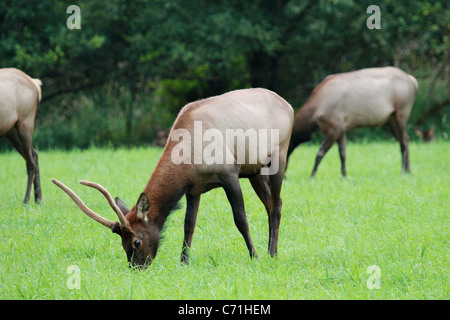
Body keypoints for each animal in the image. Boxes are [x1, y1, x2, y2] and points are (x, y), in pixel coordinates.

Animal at [0, 67, 42, 202]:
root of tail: (35, 83)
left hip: (25, 122)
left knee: (31, 162)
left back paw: (27, 200)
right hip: (10, 130)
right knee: (34, 154)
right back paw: (39, 199)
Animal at [51, 88, 296, 270]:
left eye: (136, 241)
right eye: (122, 243)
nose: (136, 267)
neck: (187, 156)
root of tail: (289, 106)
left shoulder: (229, 174)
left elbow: (240, 219)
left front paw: (254, 256)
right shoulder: (193, 188)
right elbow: (189, 224)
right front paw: (183, 262)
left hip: (278, 158)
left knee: (276, 205)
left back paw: (271, 255)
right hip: (255, 171)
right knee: (272, 204)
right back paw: (272, 250)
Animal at [288, 67, 418, 176]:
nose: (285, 175)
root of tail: (413, 81)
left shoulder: (335, 127)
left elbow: (320, 153)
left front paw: (312, 175)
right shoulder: (341, 128)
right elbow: (343, 154)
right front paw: (344, 175)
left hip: (401, 113)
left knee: (403, 142)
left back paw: (403, 171)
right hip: (390, 119)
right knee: (406, 139)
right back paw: (409, 171)